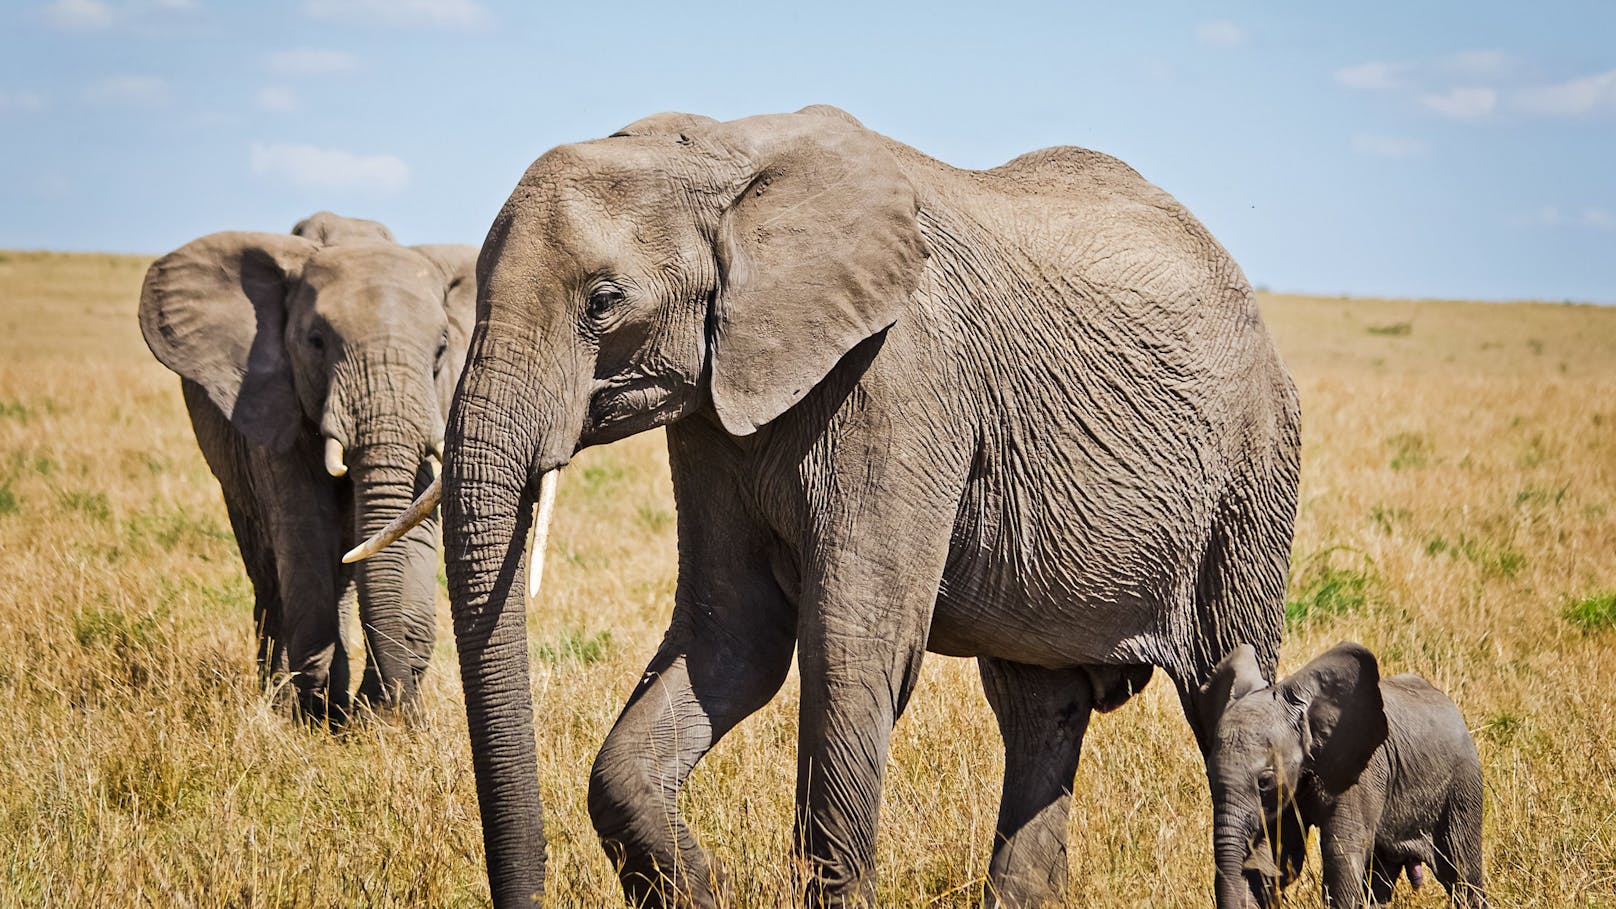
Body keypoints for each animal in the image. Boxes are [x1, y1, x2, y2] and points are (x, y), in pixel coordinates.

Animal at [138, 211, 471, 721]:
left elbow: (409, 529)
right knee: (268, 569)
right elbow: (303, 530)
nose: (393, 710)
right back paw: (282, 696)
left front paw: (379, 719)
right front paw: (313, 715)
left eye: (441, 349)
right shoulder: (274, 398)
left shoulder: (436, 401)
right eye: (317, 342)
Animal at [363, 107, 1299, 905]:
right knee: (1039, 710)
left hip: (1253, 472)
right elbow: (731, 636)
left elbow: (851, 646)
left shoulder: (901, 378)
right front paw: (701, 891)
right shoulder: (714, 405)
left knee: (1224, 700)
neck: (723, 155)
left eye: (603, 302)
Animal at [1195, 640, 1480, 899]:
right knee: (1381, 877)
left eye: (1264, 781)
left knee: (1463, 874)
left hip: (1462, 789)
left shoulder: (1362, 772)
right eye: (1209, 774)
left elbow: (1341, 854)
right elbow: (1273, 857)